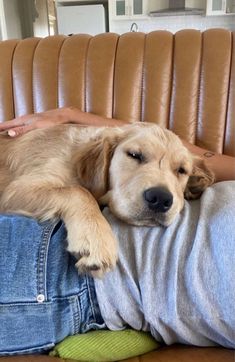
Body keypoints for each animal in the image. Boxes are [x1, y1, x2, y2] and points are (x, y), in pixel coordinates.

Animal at [0, 123, 213, 276]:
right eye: (134, 155)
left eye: (181, 170)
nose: (160, 198)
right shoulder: (15, 190)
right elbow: (78, 191)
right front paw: (96, 239)